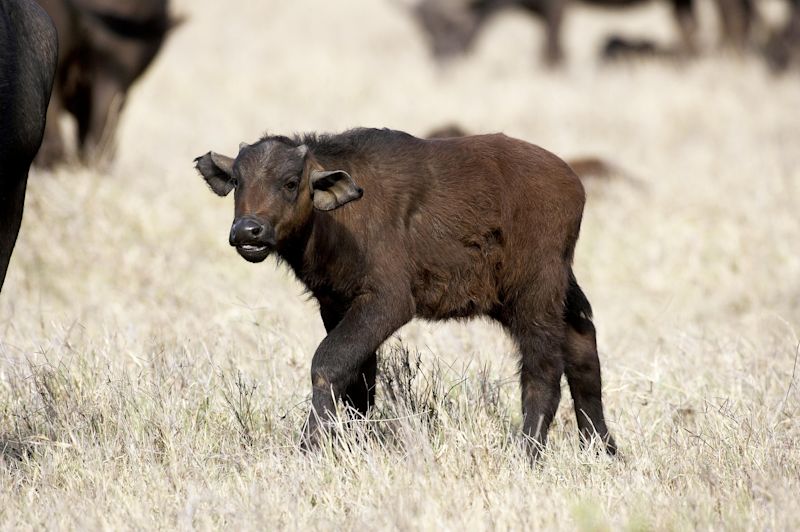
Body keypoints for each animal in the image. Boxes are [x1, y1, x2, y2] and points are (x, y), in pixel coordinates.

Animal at [195, 127, 620, 460]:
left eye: (289, 182)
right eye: (238, 182)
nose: (248, 231)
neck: (338, 219)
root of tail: (572, 183)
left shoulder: (388, 301)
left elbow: (328, 362)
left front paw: (310, 448)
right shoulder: (336, 304)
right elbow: (359, 381)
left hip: (535, 295)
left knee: (543, 371)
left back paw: (528, 453)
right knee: (583, 344)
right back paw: (604, 449)